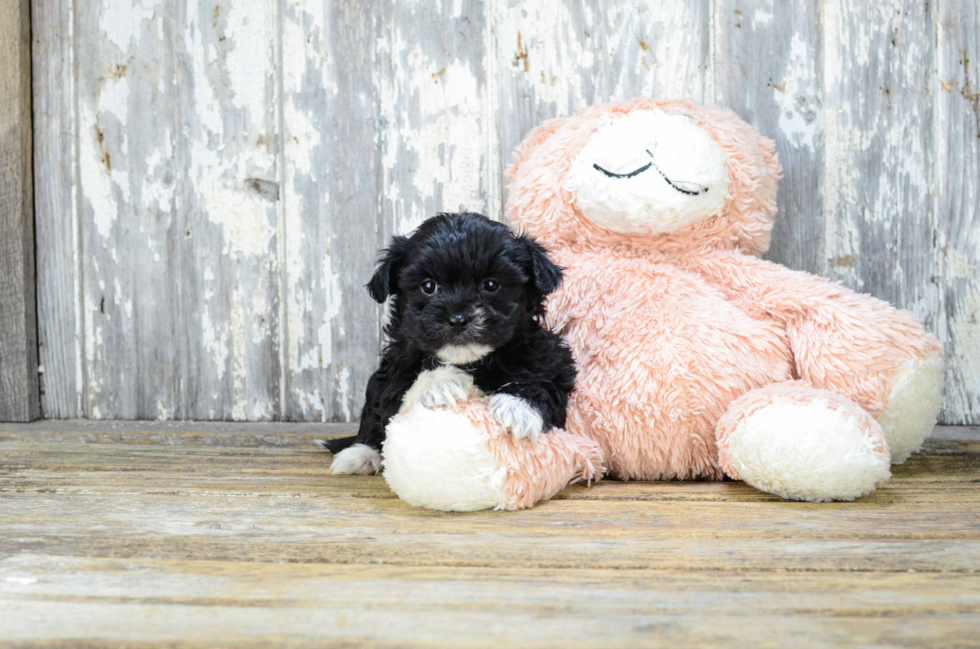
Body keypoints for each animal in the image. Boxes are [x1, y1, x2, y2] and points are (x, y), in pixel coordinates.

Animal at [326, 210, 576, 474]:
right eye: (428, 286)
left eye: (491, 284)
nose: (458, 319)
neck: (469, 361)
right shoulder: (393, 371)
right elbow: (393, 399)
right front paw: (442, 381)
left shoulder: (550, 358)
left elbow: (544, 383)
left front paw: (518, 407)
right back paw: (360, 453)